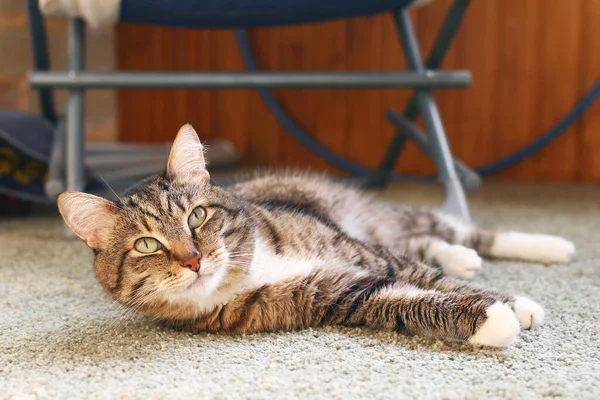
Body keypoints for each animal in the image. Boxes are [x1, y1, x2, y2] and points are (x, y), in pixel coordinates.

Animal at [58, 124, 576, 346]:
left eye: (197, 216)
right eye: (146, 245)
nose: (193, 259)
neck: (250, 267)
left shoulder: (361, 253)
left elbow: (430, 279)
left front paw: (517, 304)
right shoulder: (341, 294)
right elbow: (411, 300)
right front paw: (494, 319)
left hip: (369, 222)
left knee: (451, 231)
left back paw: (556, 246)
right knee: (432, 244)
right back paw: (466, 256)